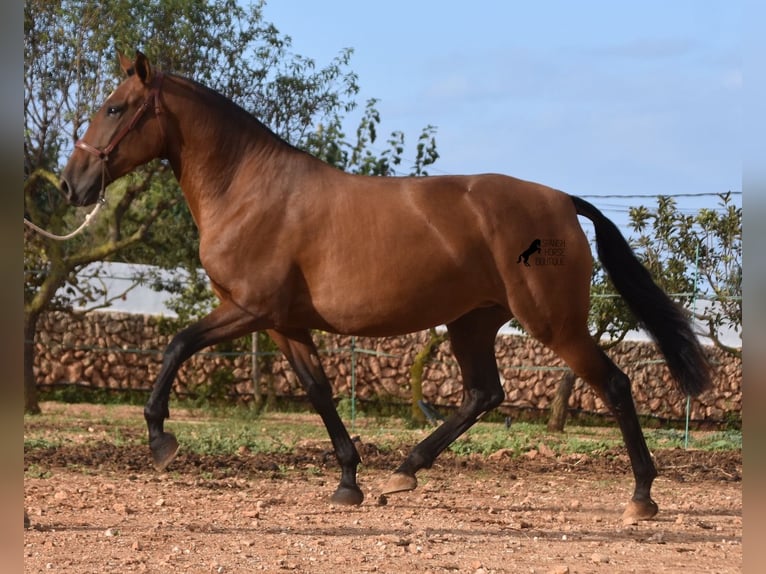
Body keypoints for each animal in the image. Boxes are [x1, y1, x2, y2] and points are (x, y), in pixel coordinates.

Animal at [60, 51, 712, 524]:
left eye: (115, 108)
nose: (72, 184)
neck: (249, 187)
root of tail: (562, 201)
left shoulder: (247, 309)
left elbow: (175, 346)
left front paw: (160, 439)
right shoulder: (285, 324)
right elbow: (320, 392)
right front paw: (349, 481)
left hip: (554, 324)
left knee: (614, 385)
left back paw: (642, 497)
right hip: (472, 321)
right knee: (484, 393)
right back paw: (404, 471)